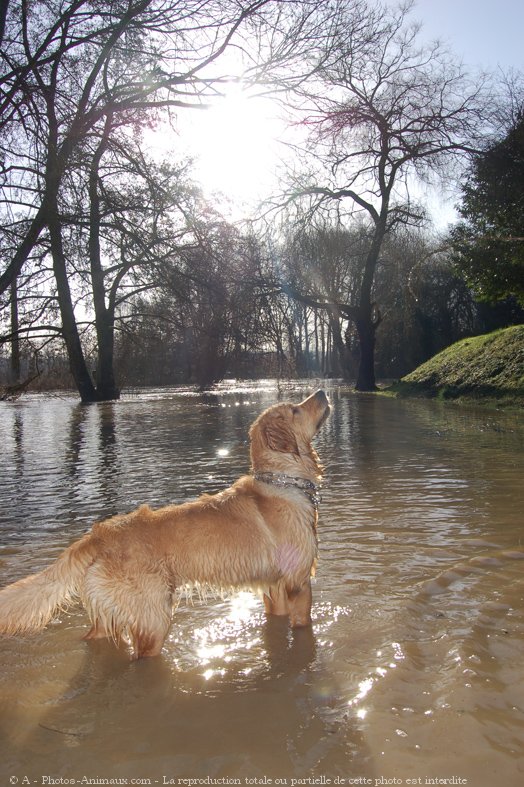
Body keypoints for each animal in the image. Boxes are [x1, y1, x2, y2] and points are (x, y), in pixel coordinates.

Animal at [0, 392, 330, 660]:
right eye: (295, 410)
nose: (322, 392)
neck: (282, 481)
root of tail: (99, 534)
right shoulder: (299, 584)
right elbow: (304, 627)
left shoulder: (274, 589)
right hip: (153, 618)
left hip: (107, 615)